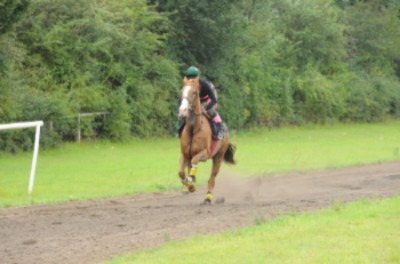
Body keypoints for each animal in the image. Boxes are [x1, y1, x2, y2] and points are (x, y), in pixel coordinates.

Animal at [177, 76, 236, 204]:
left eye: (195, 92)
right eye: (182, 91)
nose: (182, 111)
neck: (193, 129)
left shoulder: (205, 153)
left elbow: (194, 161)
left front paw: (191, 184)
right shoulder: (185, 154)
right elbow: (181, 172)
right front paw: (188, 184)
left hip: (218, 157)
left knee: (212, 178)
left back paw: (208, 197)